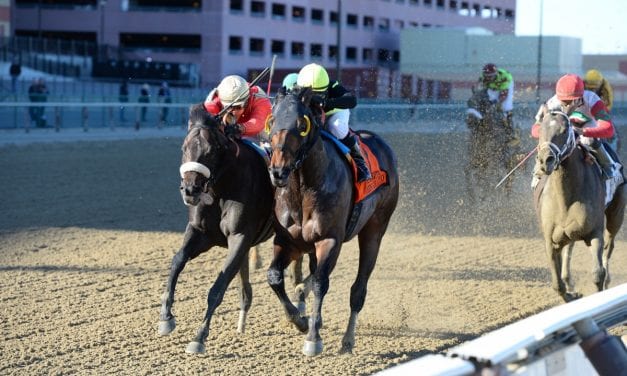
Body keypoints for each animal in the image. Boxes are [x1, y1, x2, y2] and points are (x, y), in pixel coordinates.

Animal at [158, 102, 274, 352]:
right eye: (184, 147)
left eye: (211, 150)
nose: (190, 190)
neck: (222, 188)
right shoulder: (201, 232)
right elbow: (177, 261)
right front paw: (166, 317)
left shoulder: (240, 236)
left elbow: (218, 287)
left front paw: (199, 336)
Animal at [268, 87, 400, 356]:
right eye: (272, 120)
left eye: (301, 124)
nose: (278, 171)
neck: (304, 188)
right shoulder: (288, 240)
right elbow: (275, 276)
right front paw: (299, 320)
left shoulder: (329, 239)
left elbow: (321, 283)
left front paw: (313, 339)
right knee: (311, 272)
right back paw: (302, 292)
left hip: (375, 228)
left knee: (358, 289)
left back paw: (347, 341)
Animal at [532, 107, 624, 302]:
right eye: (541, 131)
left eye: (564, 130)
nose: (545, 160)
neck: (565, 198)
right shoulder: (551, 240)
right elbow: (557, 285)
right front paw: (571, 293)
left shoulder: (595, 233)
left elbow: (598, 273)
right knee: (569, 247)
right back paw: (569, 281)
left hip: (617, 213)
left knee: (609, 245)